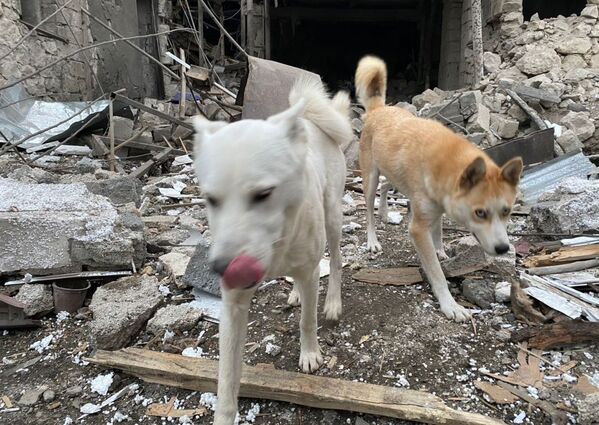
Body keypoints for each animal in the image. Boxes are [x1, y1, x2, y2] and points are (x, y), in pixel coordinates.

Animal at [192, 78, 352, 422]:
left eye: (263, 194)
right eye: (211, 199)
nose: (222, 268)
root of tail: (311, 122)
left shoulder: (309, 271)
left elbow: (308, 321)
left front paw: (310, 354)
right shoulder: (233, 302)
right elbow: (226, 375)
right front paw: (224, 415)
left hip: (333, 216)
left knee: (335, 261)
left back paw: (332, 301)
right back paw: (295, 293)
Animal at [356, 56, 524, 322]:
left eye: (506, 211)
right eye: (480, 213)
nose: (503, 249)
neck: (447, 164)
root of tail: (378, 110)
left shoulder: (438, 207)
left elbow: (439, 232)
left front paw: (440, 250)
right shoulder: (418, 228)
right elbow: (436, 273)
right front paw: (450, 305)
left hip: (394, 174)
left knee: (385, 186)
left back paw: (384, 212)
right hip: (370, 177)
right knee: (370, 209)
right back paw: (373, 238)